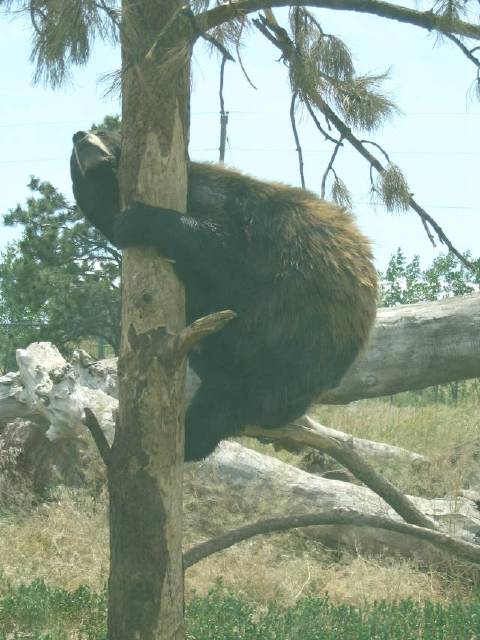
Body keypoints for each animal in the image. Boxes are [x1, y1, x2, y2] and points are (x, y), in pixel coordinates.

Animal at [70, 129, 378, 460]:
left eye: (104, 131)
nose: (79, 135)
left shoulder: (216, 198)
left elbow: (222, 243)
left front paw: (142, 220)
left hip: (292, 332)